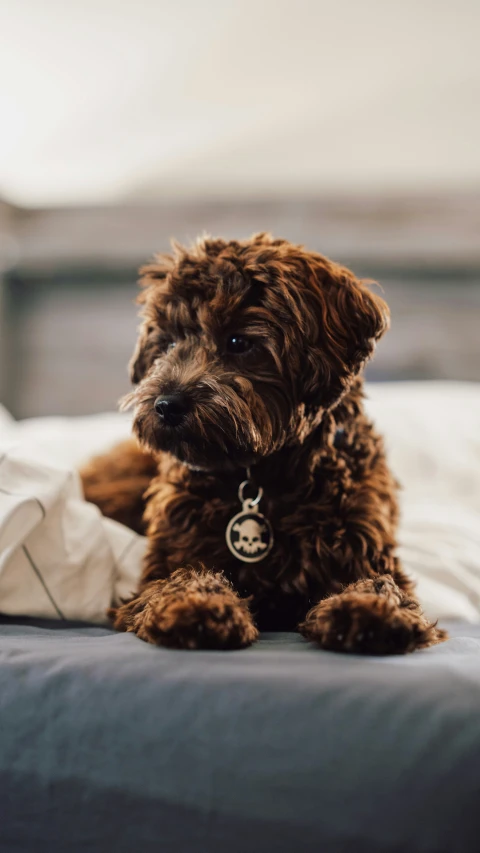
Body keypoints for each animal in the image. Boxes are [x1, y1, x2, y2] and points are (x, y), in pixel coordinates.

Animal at [82, 233, 446, 652]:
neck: (265, 476)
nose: (166, 405)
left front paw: (371, 613)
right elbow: (180, 579)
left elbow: (381, 586)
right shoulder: (164, 564)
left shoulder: (366, 554)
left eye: (239, 342)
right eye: (169, 342)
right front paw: (197, 608)